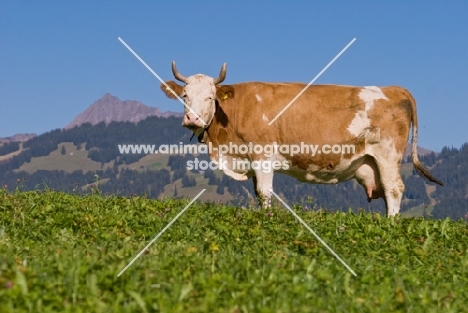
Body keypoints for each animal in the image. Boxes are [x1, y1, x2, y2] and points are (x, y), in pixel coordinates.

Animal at [161, 61, 442, 217]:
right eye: (185, 95)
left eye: (210, 97)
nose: (192, 119)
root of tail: (394, 88)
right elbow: (258, 193)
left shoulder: (263, 154)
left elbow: (264, 192)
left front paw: (267, 218)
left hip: (387, 155)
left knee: (394, 189)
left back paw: (391, 224)